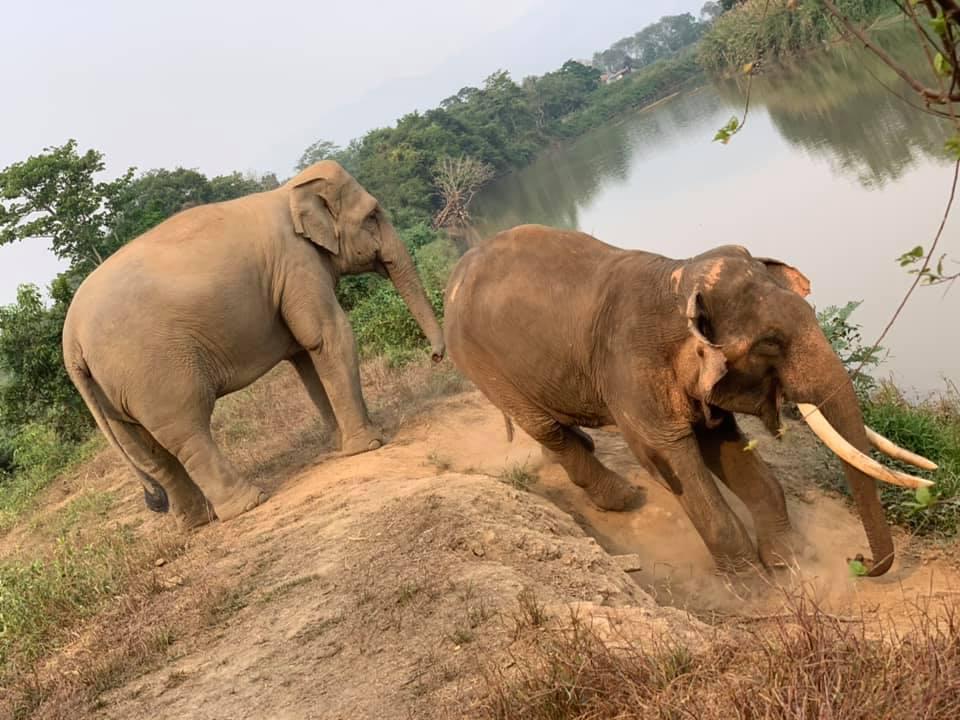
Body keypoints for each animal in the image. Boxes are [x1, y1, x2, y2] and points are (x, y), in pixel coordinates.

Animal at [62, 160, 445, 528]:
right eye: (373, 216)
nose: (435, 356)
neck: (290, 191)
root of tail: (71, 341)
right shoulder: (298, 264)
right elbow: (328, 336)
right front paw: (369, 444)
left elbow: (305, 355)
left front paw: (339, 444)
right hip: (152, 373)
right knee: (188, 434)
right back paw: (249, 502)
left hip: (111, 393)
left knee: (152, 453)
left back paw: (197, 522)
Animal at [443, 224, 935, 576]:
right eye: (770, 343)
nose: (859, 561)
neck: (677, 279)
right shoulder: (631, 368)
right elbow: (666, 454)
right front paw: (752, 584)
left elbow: (726, 445)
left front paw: (787, 560)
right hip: (479, 361)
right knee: (544, 426)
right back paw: (624, 499)